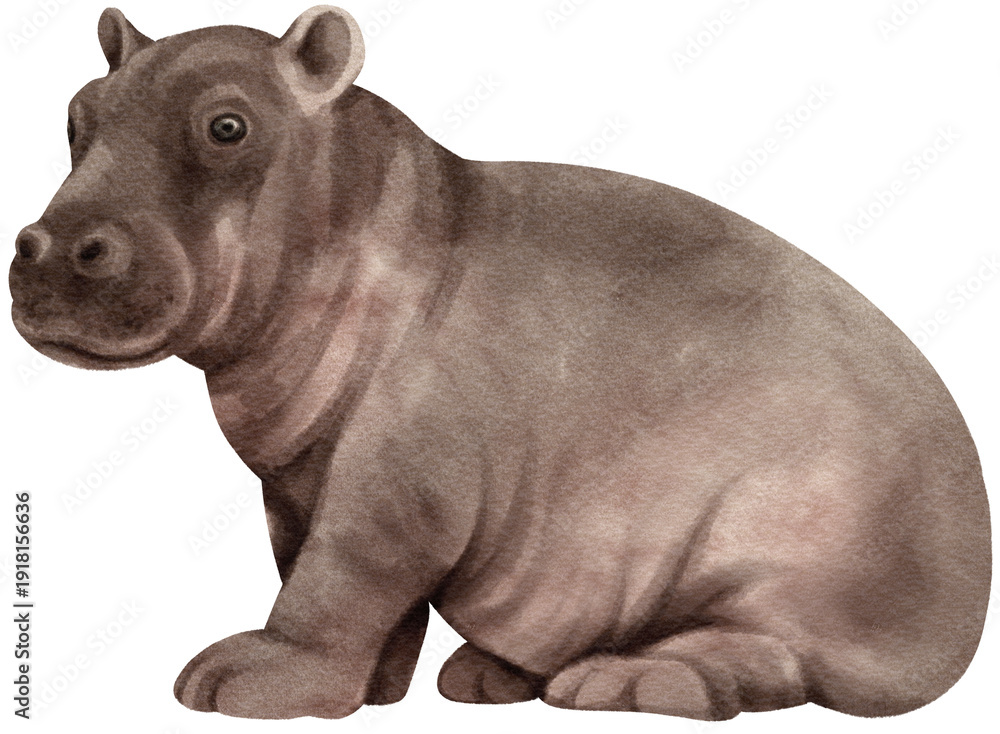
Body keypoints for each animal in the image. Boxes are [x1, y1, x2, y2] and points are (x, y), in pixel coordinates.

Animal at [8, 5, 991, 722]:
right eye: (76, 116)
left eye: (226, 126)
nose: (48, 247)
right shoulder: (299, 481)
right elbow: (335, 582)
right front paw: (372, 696)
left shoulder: (397, 484)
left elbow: (334, 584)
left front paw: (242, 681)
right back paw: (494, 677)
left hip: (783, 552)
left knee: (772, 659)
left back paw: (624, 683)